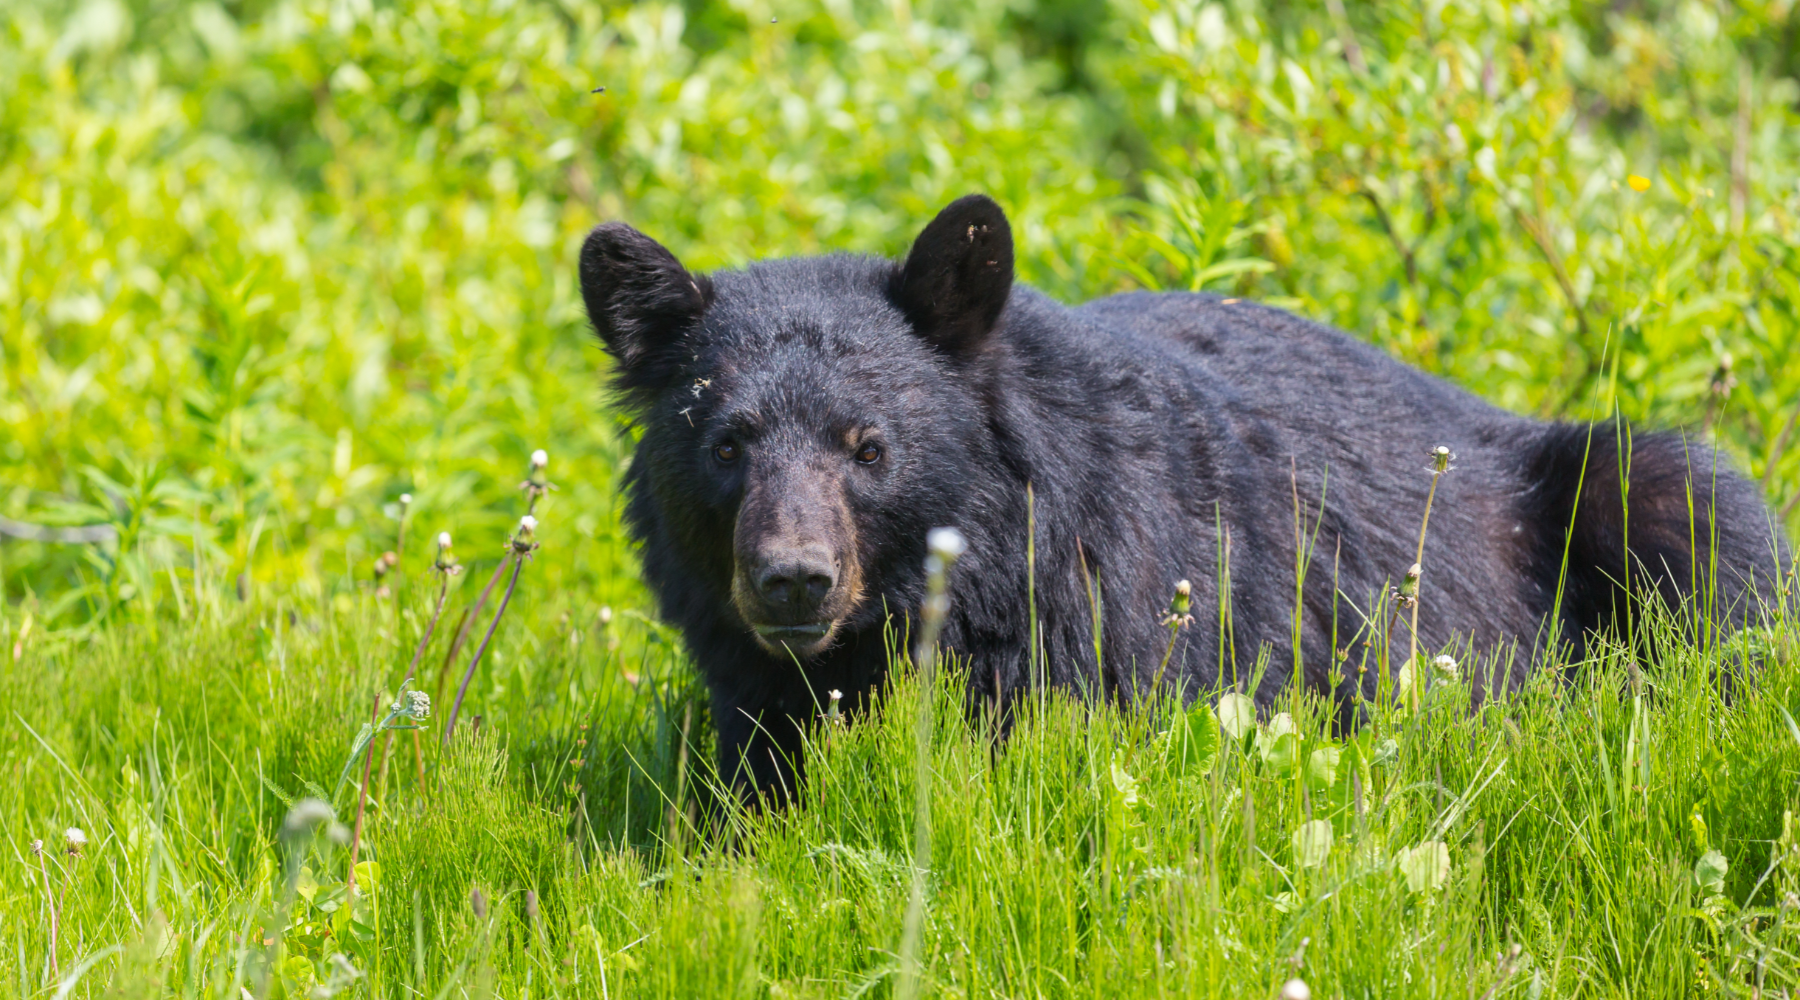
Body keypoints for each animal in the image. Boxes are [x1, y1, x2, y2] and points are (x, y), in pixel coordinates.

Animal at [583, 195, 1792, 805]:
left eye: (867, 446)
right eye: (727, 444)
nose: (793, 578)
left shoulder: (1110, 624)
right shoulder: (753, 681)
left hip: (1614, 489)